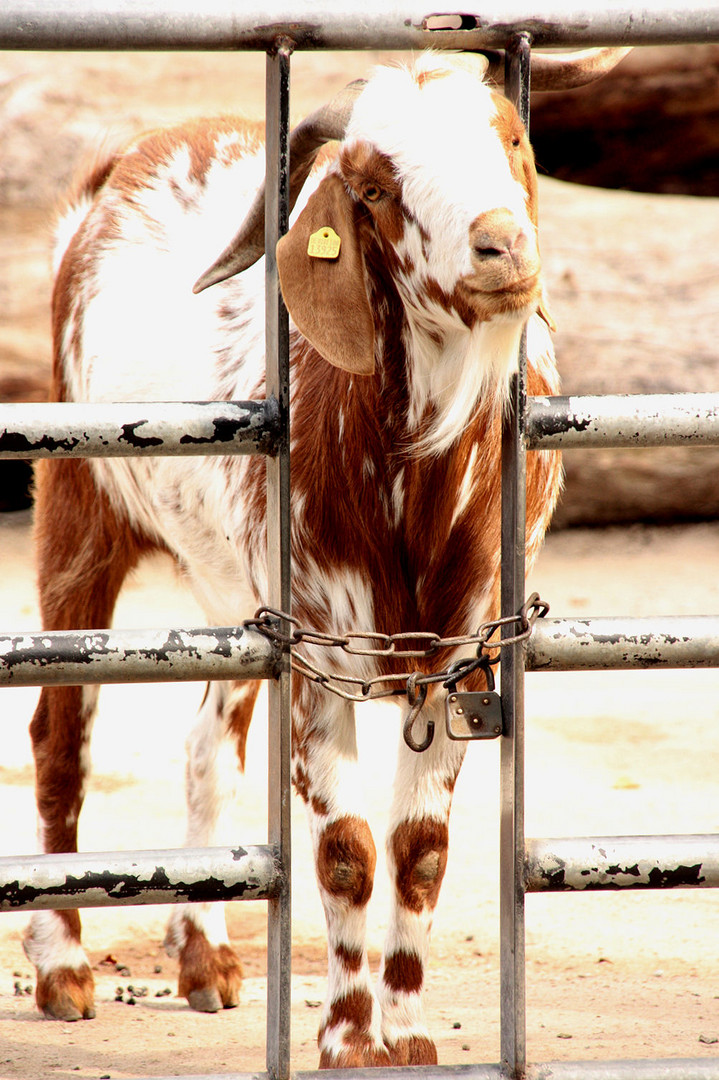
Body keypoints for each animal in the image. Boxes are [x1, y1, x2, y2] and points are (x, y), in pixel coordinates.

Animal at [25, 48, 626, 1062]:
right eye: (376, 186)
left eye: (510, 137)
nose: (501, 247)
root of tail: (131, 162)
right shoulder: (316, 656)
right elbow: (346, 852)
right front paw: (347, 1042)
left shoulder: (463, 659)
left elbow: (419, 854)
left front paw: (410, 1040)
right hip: (78, 505)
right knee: (60, 736)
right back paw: (62, 965)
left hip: (230, 586)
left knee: (206, 747)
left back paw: (205, 957)